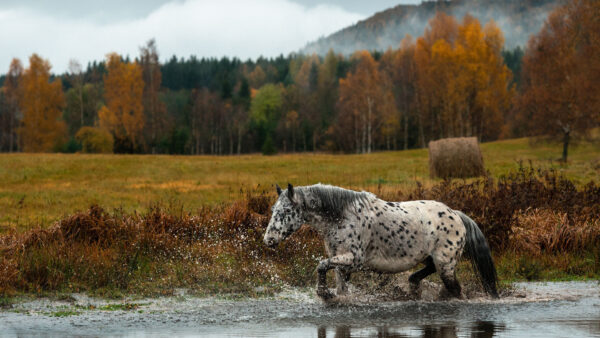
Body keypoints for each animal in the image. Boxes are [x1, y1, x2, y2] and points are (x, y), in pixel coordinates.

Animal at [264, 184, 500, 300]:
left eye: (287, 211)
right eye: (274, 210)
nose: (268, 240)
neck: (342, 216)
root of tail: (456, 215)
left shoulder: (354, 259)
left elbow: (321, 265)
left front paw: (323, 293)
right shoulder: (341, 262)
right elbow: (338, 285)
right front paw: (329, 296)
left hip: (446, 265)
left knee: (456, 290)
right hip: (432, 259)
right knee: (427, 272)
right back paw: (413, 285)